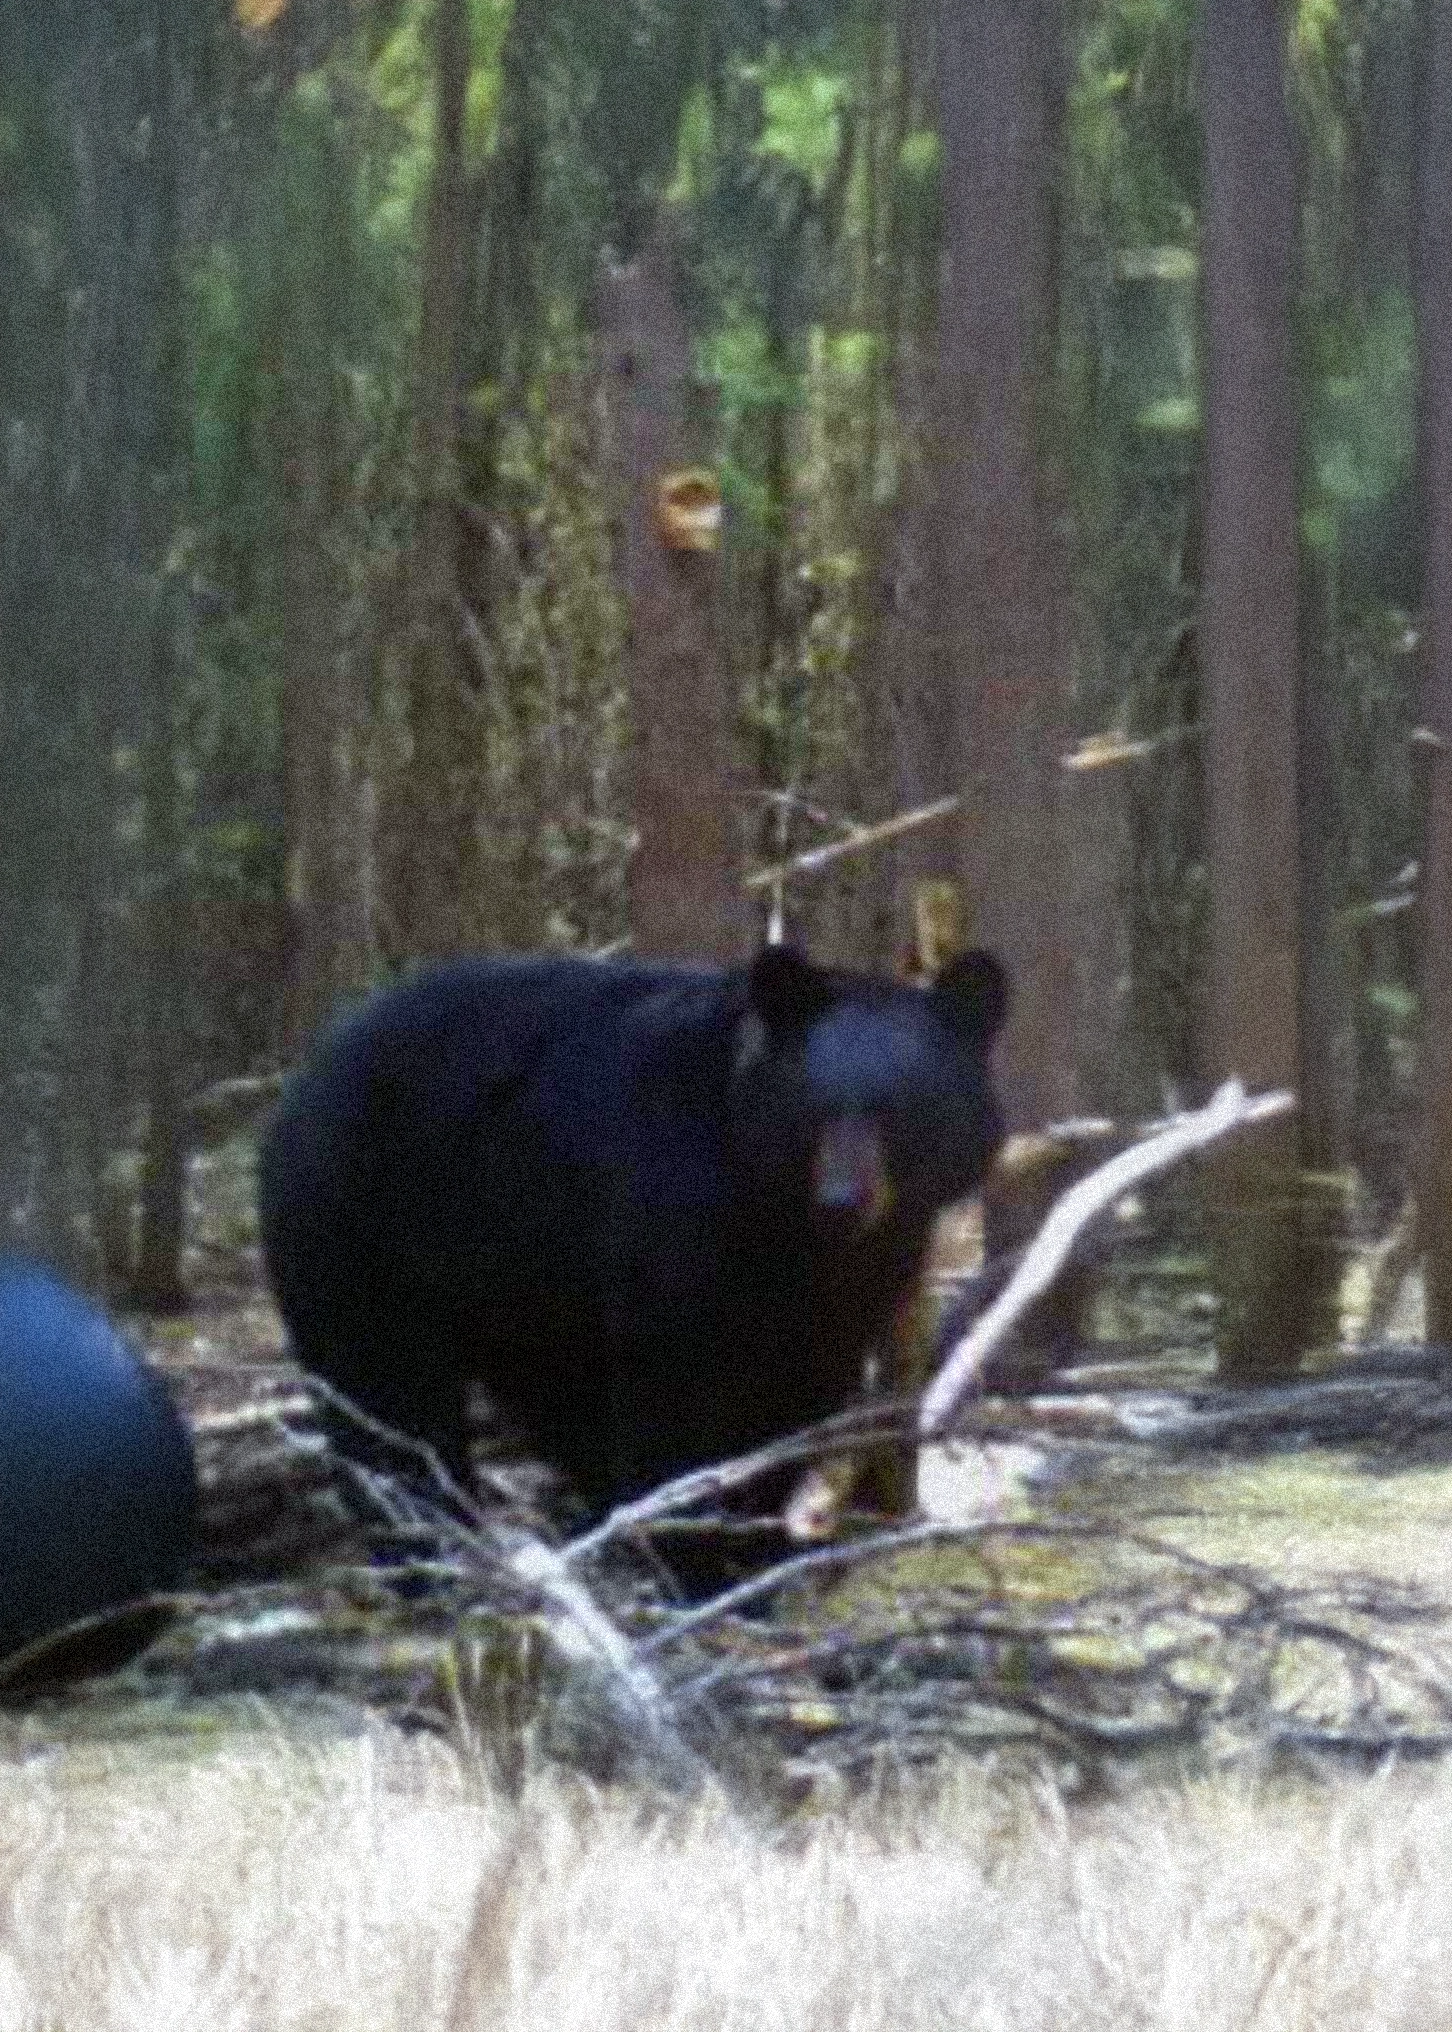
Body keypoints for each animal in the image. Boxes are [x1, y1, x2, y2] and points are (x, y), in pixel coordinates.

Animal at [258, 943, 1007, 1517]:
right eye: (815, 1111)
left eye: (896, 1111)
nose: (842, 1201)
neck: (781, 1221)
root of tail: (307, 1072)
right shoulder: (670, 1214)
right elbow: (675, 1393)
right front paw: (703, 1549)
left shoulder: (842, 1293)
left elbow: (795, 1394)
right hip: (363, 1223)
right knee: (383, 1394)